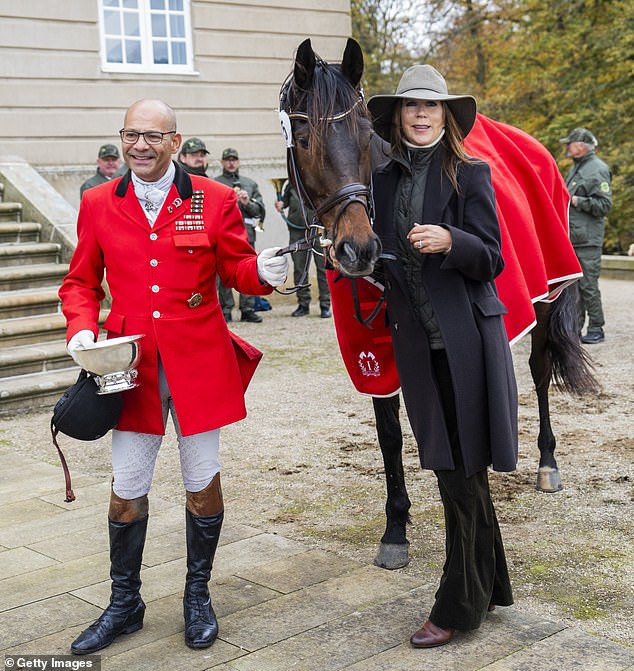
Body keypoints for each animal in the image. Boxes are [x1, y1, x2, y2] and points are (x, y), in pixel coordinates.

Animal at [278, 39, 596, 568]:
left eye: (364, 131)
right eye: (302, 137)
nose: (358, 249)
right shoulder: (372, 346)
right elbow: (389, 432)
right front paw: (395, 528)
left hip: (548, 296)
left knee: (538, 368)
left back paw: (547, 462)